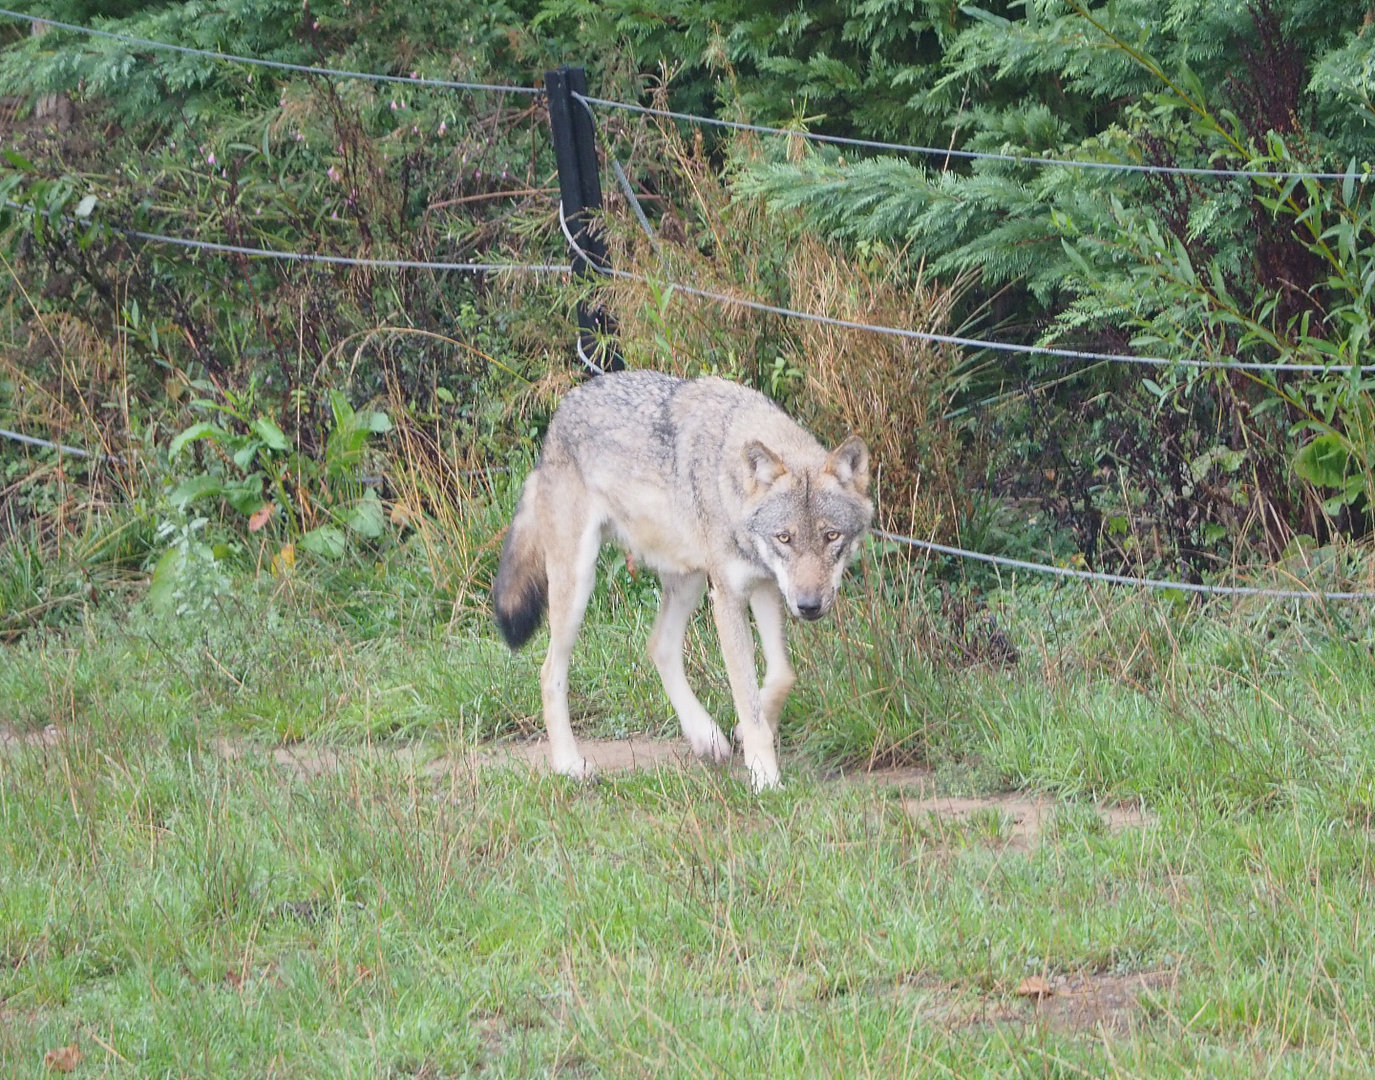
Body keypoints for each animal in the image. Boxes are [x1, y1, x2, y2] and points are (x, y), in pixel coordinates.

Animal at [491, 370, 872, 791]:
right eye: (784, 538)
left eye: (831, 536)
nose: (808, 607)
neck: (729, 480)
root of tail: (558, 419)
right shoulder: (728, 597)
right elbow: (746, 695)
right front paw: (765, 778)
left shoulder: (766, 586)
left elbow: (781, 676)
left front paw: (746, 732)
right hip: (579, 584)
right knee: (549, 673)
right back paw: (570, 765)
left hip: (688, 579)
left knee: (659, 645)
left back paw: (706, 736)